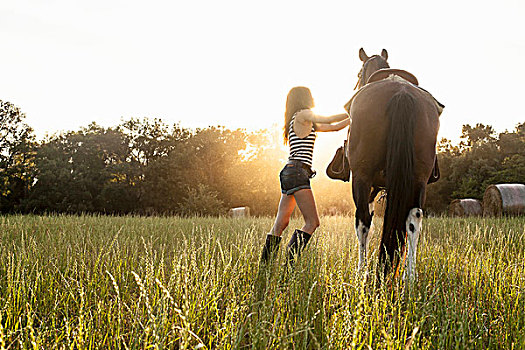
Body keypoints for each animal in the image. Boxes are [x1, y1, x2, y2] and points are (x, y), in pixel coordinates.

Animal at [346, 47, 440, 282]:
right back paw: (410, 277)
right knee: (414, 218)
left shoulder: (369, 184)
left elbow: (367, 221)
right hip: (419, 178)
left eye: (358, 74)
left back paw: (363, 271)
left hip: (362, 177)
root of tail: (402, 93)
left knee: (362, 220)